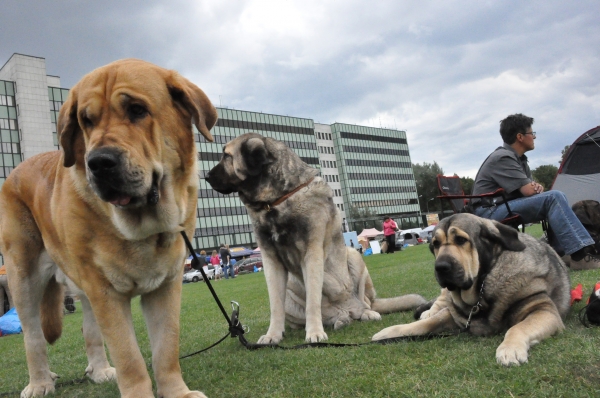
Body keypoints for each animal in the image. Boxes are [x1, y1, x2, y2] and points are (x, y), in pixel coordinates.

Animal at [0, 57, 216, 396]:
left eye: (137, 110)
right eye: (86, 121)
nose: (99, 162)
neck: (140, 228)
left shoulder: (167, 285)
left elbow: (166, 348)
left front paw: (176, 391)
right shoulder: (106, 293)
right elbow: (129, 357)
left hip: (82, 289)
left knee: (89, 329)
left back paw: (99, 370)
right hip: (23, 276)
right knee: (33, 336)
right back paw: (39, 383)